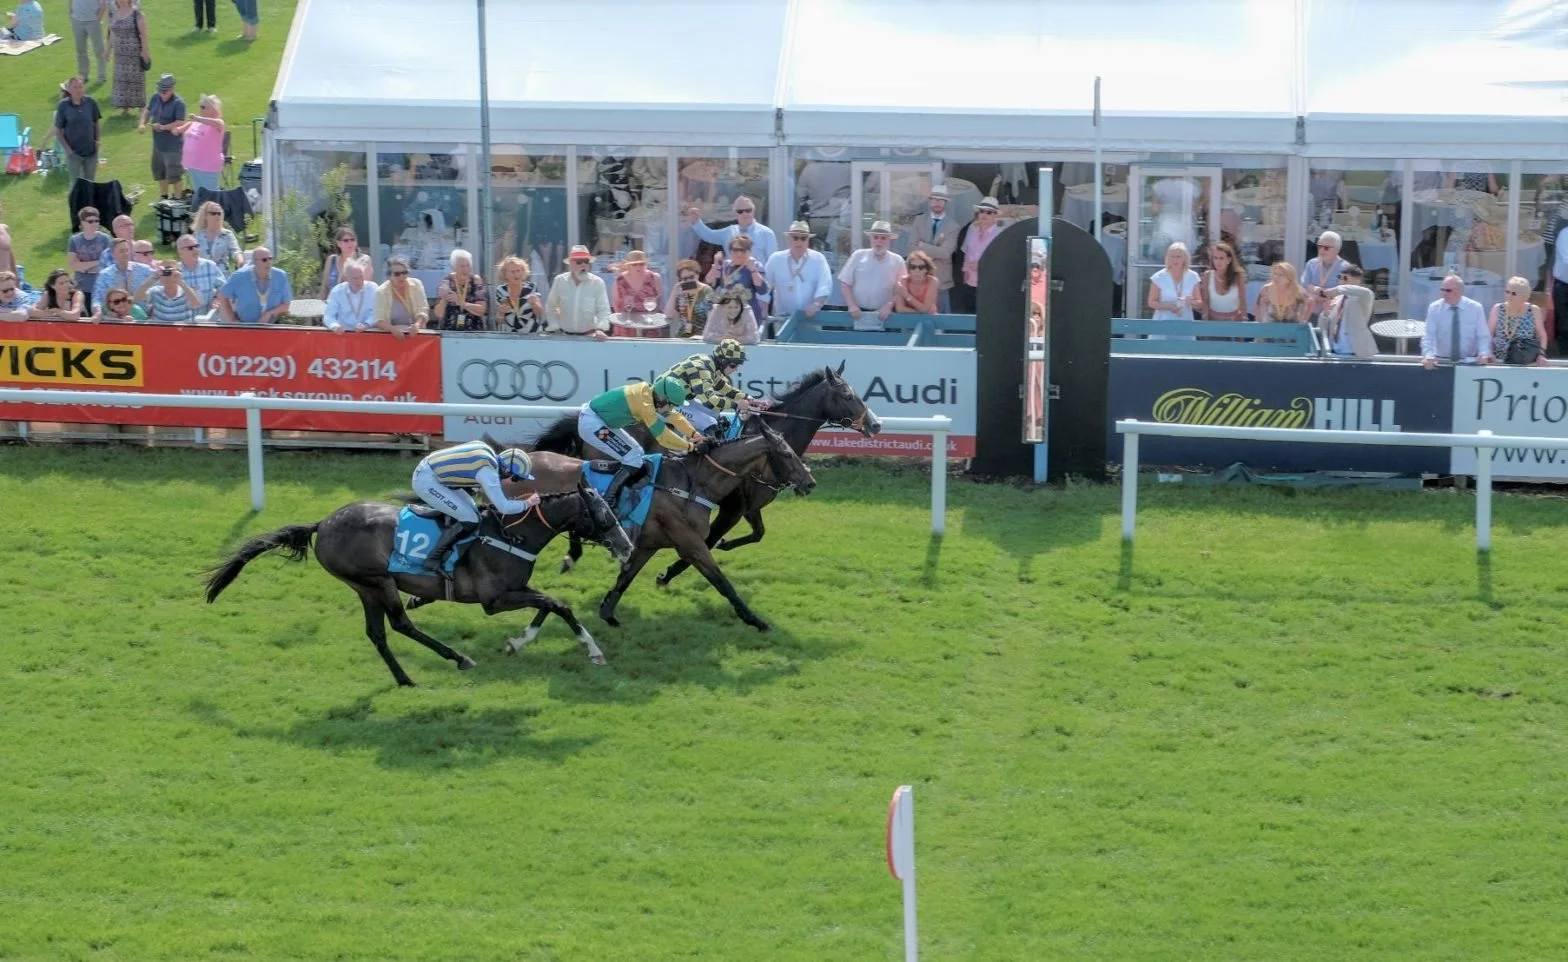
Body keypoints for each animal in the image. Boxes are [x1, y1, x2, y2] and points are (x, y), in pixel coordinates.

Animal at [202, 483, 632, 686]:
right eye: (602, 513)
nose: (627, 545)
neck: (512, 534)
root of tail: (322, 524)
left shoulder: (510, 593)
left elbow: (548, 605)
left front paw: (518, 642)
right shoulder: (494, 598)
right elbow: (558, 604)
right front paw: (593, 651)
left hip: (366, 587)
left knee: (378, 633)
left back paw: (404, 678)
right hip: (376, 582)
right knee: (399, 625)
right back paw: (457, 657)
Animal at [529, 365, 880, 584]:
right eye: (847, 396)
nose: (875, 424)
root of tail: (584, 416)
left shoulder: (749, 506)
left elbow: (757, 534)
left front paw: (724, 545)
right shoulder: (732, 507)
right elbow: (706, 541)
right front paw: (668, 573)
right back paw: (575, 552)